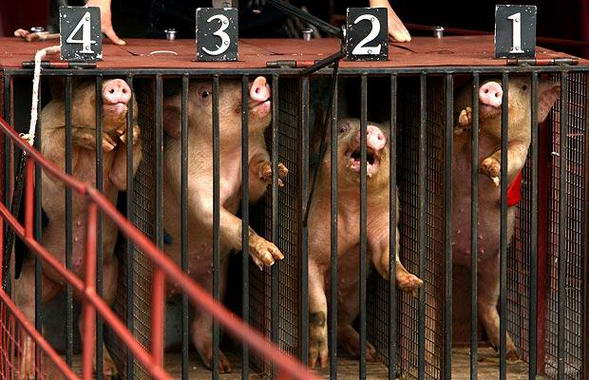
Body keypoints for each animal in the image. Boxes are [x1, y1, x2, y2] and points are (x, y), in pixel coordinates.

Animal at [13, 78, 142, 378]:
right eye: (87, 84)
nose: (118, 83)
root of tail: (68, 282)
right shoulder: (47, 134)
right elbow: (59, 146)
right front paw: (98, 140)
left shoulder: (118, 174)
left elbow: (121, 177)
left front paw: (129, 133)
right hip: (29, 278)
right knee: (29, 320)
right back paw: (24, 372)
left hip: (107, 273)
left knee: (88, 321)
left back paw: (108, 369)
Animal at [163, 75, 288, 372]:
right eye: (205, 93)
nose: (260, 80)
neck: (227, 154)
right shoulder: (189, 181)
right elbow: (216, 215)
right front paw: (271, 257)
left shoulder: (253, 154)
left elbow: (255, 187)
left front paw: (273, 170)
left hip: (215, 281)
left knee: (201, 324)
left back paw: (221, 365)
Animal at [306, 118, 420, 368]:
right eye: (342, 129)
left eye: (387, 135)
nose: (372, 129)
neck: (353, 205)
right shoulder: (312, 243)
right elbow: (318, 305)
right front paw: (318, 362)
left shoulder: (385, 220)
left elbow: (386, 255)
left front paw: (414, 284)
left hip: (355, 296)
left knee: (342, 322)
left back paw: (368, 352)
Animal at [452, 76, 560, 360]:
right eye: (485, 76)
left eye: (523, 87)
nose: (492, 86)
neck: (489, 137)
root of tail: (463, 257)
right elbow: (456, 141)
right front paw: (466, 119)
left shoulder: (522, 146)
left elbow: (509, 158)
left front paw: (488, 167)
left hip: (495, 262)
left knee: (486, 302)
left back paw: (511, 354)